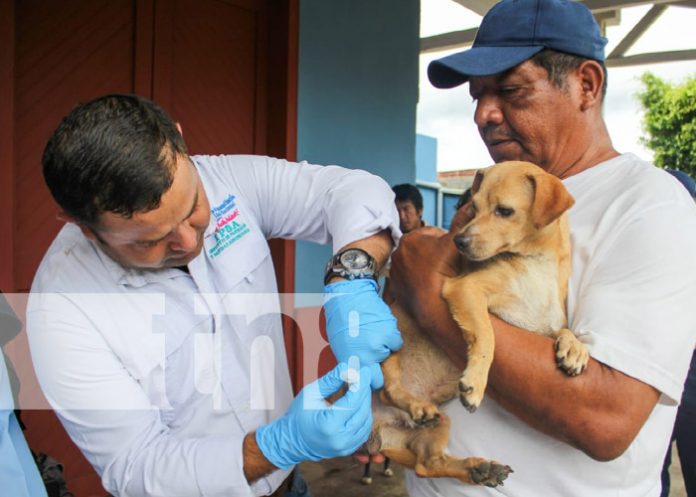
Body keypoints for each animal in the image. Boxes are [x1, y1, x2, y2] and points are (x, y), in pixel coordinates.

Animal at [368, 162, 588, 484]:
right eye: (473, 208)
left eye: (504, 211)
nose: (458, 241)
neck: (536, 266)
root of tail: (374, 427)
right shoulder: (466, 289)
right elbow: (486, 336)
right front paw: (476, 383)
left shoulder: (540, 325)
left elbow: (565, 329)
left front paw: (575, 350)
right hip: (389, 344)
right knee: (389, 388)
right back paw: (418, 405)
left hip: (438, 426)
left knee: (427, 463)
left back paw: (478, 469)